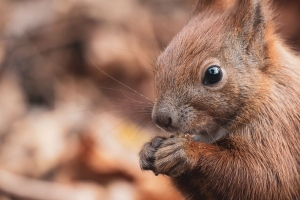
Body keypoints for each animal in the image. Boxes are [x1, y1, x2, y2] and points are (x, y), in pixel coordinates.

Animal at [140, 0, 300, 199]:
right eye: (160, 61)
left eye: (213, 74)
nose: (161, 119)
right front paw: (149, 148)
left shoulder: (279, 131)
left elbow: (267, 178)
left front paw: (188, 151)